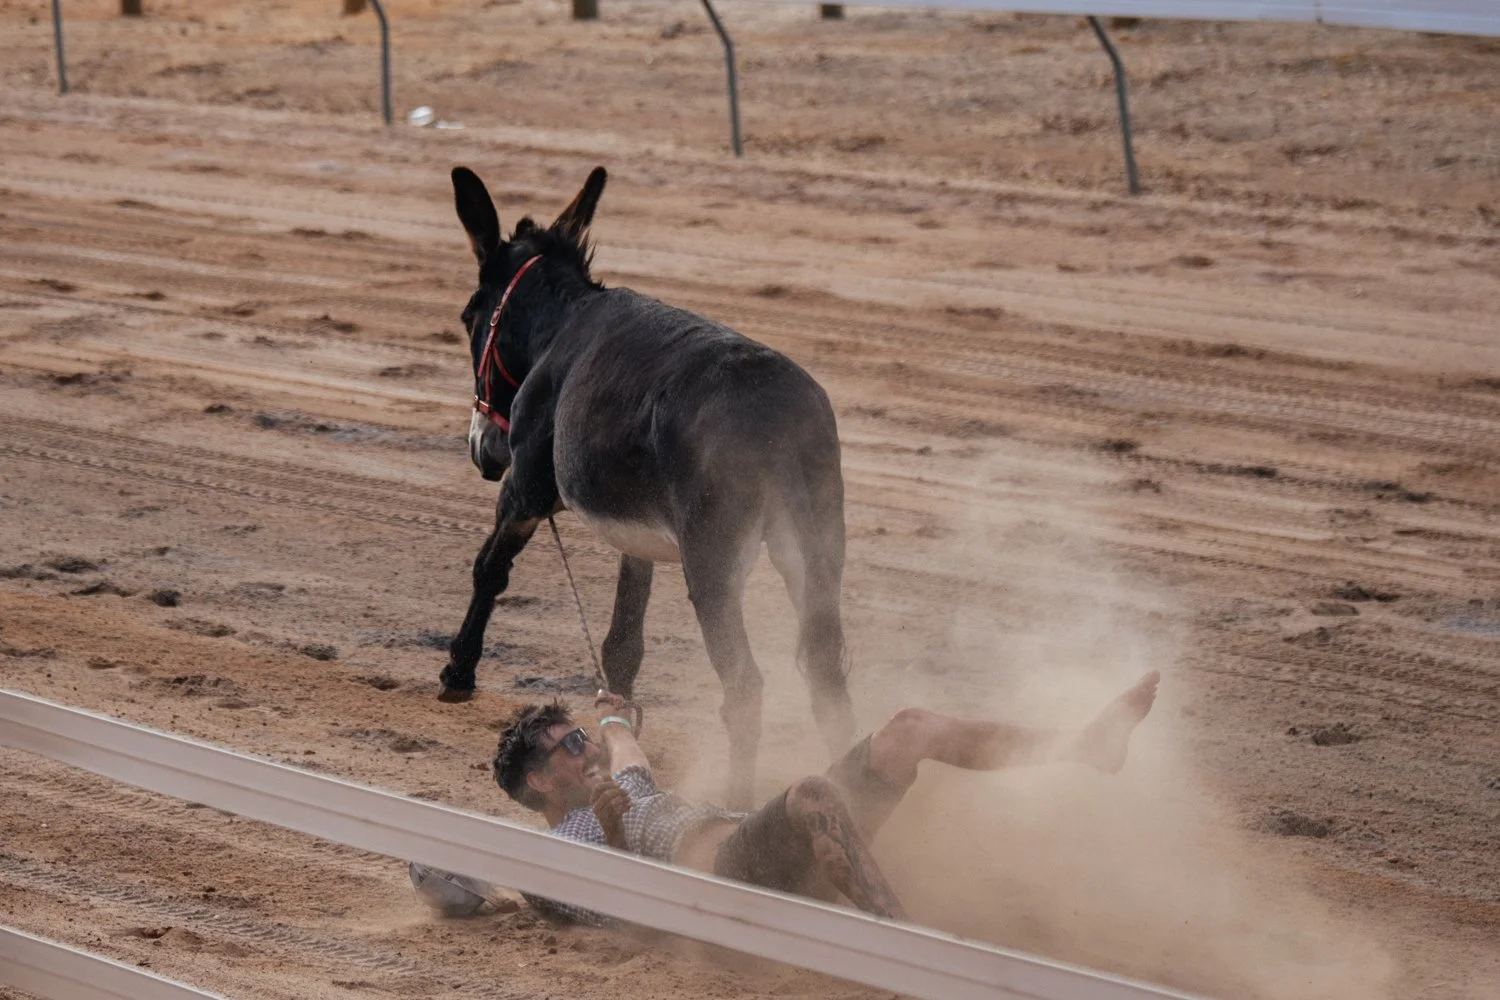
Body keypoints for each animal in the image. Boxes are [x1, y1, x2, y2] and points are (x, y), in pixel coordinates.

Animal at [437, 164, 855, 808]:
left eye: (468, 318)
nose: (482, 451)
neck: (563, 323)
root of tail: (777, 413)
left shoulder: (524, 492)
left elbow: (491, 568)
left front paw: (459, 669)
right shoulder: (638, 543)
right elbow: (621, 646)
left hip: (713, 564)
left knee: (744, 687)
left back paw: (735, 802)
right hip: (817, 548)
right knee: (828, 675)